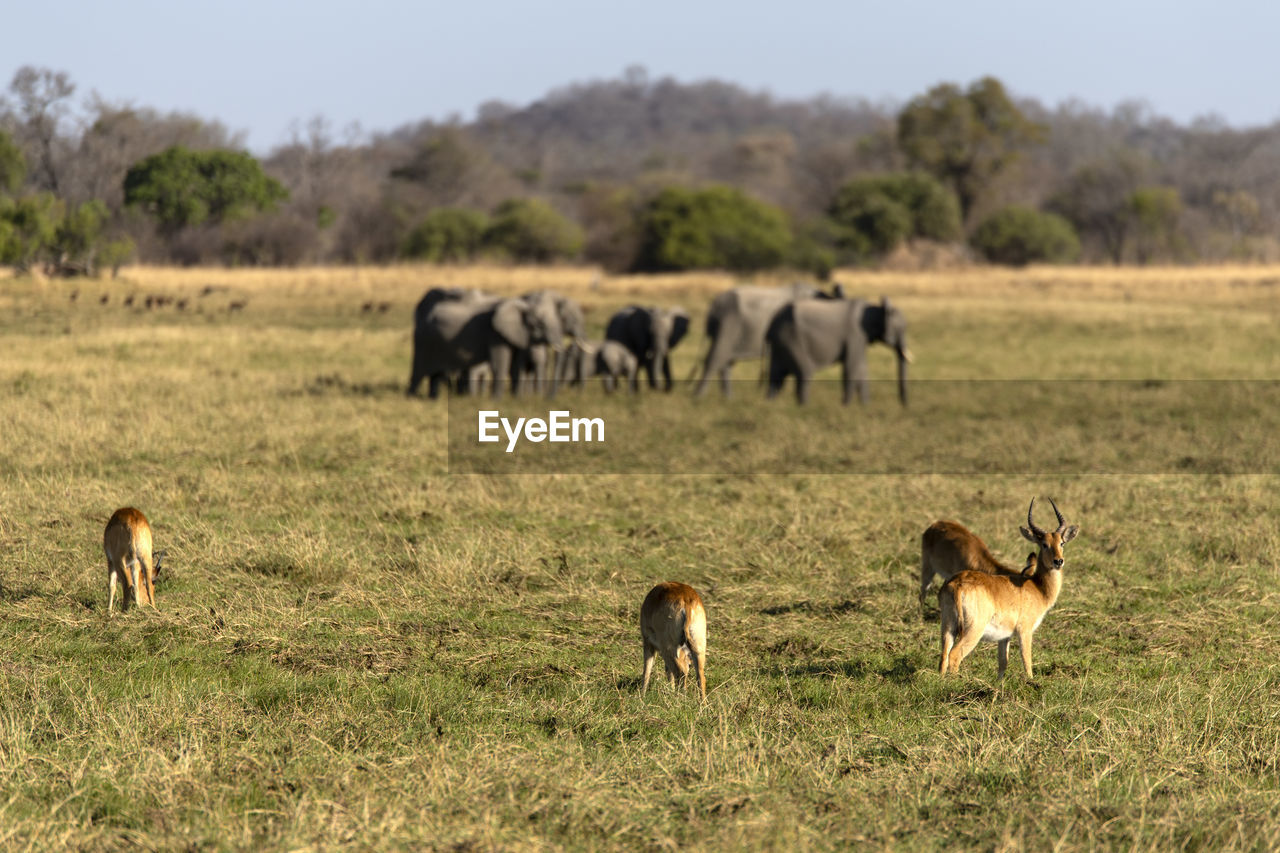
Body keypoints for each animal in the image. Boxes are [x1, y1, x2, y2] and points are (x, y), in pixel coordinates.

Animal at [409, 286, 560, 397]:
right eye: (540, 325)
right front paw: (497, 399)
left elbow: (514, 366)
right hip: (423, 339)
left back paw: (433, 398)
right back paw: (412, 397)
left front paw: (515, 398)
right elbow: (500, 364)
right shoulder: (494, 334)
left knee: (435, 375)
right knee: (419, 371)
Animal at [696, 281, 844, 394]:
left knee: (726, 362)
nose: (838, 285)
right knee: (716, 359)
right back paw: (698, 398)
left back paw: (728, 399)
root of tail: (713, 306)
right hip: (728, 324)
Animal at [757, 295, 911, 404]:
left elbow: (861, 370)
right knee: (804, 373)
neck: (875, 308)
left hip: (780, 345)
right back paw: (804, 408)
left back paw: (771, 405)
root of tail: (770, 326)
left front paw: (864, 408)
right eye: (900, 329)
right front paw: (846, 407)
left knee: (776, 379)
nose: (904, 406)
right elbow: (851, 368)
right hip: (791, 339)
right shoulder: (855, 335)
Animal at [936, 494, 1075, 676]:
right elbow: (1027, 662)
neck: (1037, 587)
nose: (1058, 561)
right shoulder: (1025, 631)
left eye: (1062, 543)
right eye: (1044, 544)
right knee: (954, 655)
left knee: (943, 656)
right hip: (973, 630)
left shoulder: (1004, 637)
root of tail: (957, 584)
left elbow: (1003, 663)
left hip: (948, 626)